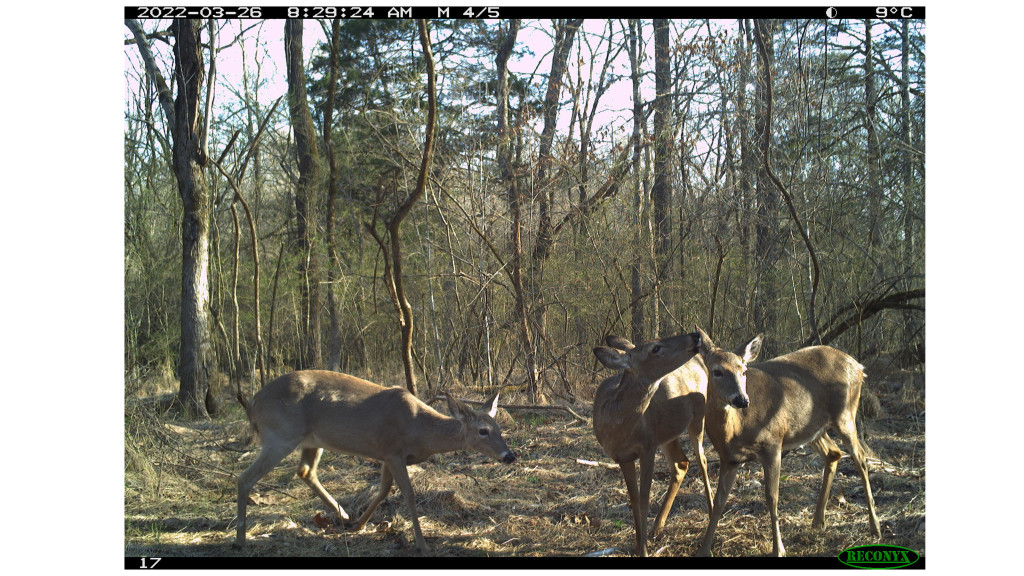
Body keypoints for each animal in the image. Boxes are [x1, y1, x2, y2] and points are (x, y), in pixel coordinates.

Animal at [235, 366, 516, 553]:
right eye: (483, 431)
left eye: (500, 428)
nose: (509, 456)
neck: (420, 429)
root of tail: (254, 401)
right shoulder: (392, 451)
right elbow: (408, 493)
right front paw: (422, 543)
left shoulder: (386, 455)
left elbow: (383, 490)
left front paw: (359, 524)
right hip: (280, 434)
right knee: (245, 478)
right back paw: (240, 539)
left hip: (311, 441)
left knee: (305, 471)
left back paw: (343, 514)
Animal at [593, 332, 712, 557]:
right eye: (655, 348)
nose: (695, 336)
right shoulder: (623, 457)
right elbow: (634, 500)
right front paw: (638, 544)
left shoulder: (648, 446)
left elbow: (644, 501)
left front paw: (644, 550)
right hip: (667, 435)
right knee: (681, 463)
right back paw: (658, 527)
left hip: (698, 417)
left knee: (702, 461)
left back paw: (711, 518)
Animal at [696, 325, 880, 553]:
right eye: (717, 371)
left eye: (743, 371)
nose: (742, 400)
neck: (735, 429)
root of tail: (858, 366)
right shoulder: (729, 458)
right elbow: (719, 501)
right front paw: (704, 549)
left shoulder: (773, 444)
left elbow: (772, 497)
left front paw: (779, 549)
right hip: (812, 428)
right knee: (833, 453)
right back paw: (818, 521)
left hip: (845, 415)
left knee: (861, 459)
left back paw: (875, 527)